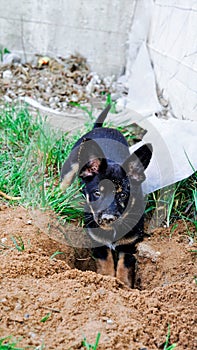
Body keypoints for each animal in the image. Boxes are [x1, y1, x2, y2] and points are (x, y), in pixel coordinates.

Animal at [60, 104, 152, 288]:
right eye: (97, 193)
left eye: (123, 195)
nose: (108, 218)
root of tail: (101, 127)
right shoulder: (98, 243)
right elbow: (106, 263)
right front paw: (107, 281)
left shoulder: (129, 246)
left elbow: (124, 267)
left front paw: (123, 286)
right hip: (71, 163)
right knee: (64, 180)